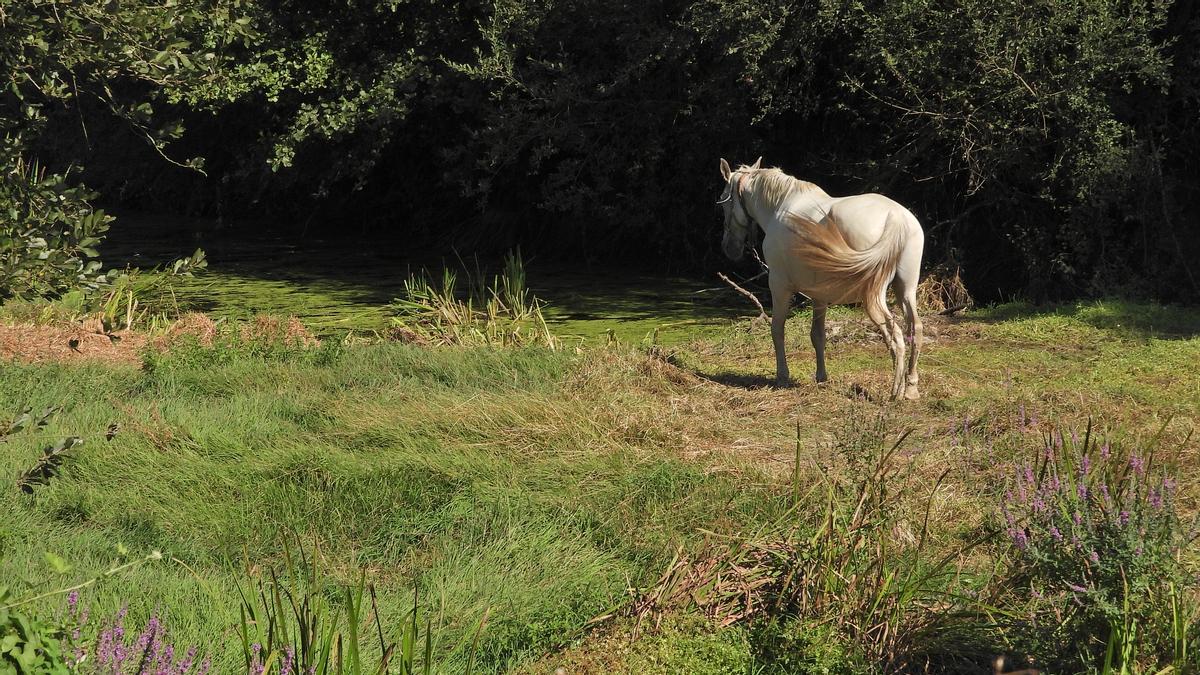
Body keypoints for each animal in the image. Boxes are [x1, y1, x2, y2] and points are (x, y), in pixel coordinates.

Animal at [710, 157, 926, 398]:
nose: (729, 249)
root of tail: (895, 217)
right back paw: (911, 389)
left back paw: (896, 392)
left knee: (895, 335)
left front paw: (782, 377)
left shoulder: (779, 286)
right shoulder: (819, 296)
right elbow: (818, 335)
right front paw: (821, 377)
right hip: (905, 289)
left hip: (873, 297)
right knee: (915, 329)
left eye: (723, 200)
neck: (780, 205)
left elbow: (777, 329)